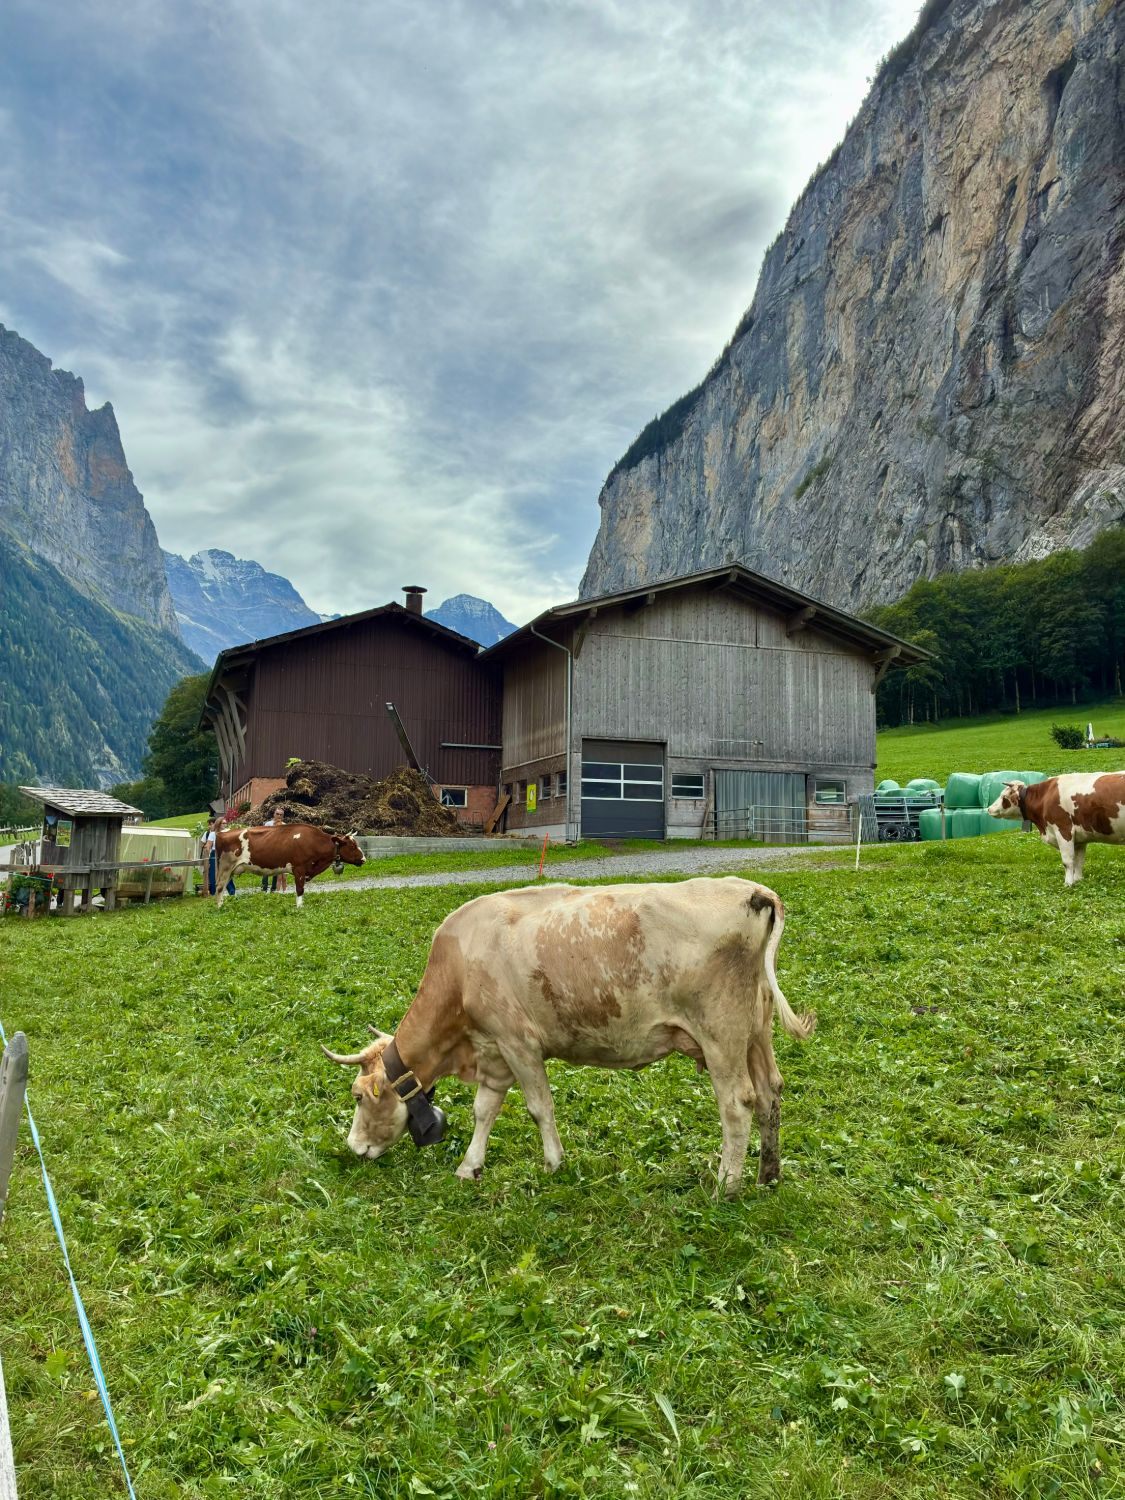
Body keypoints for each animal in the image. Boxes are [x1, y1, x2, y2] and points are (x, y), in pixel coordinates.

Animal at [213, 822, 364, 908]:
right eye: (352, 846)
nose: (364, 859)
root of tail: (222, 833)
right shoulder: (299, 869)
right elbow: (300, 889)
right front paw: (299, 907)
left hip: (230, 870)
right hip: (225, 867)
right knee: (220, 887)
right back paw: (219, 907)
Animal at [322, 877, 815, 1196]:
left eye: (359, 1097)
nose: (353, 1147)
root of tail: (754, 891)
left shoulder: (518, 1042)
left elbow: (539, 1107)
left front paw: (554, 1163)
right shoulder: (494, 1050)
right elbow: (485, 1109)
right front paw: (469, 1167)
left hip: (720, 1034)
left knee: (737, 1103)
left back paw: (726, 1186)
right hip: (755, 1031)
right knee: (770, 1092)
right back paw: (768, 1174)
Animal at [987, 772, 1125, 885]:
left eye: (1003, 797)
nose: (989, 809)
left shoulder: (1063, 829)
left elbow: (1067, 861)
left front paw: (1068, 884)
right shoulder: (1080, 839)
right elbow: (1079, 861)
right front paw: (1078, 880)